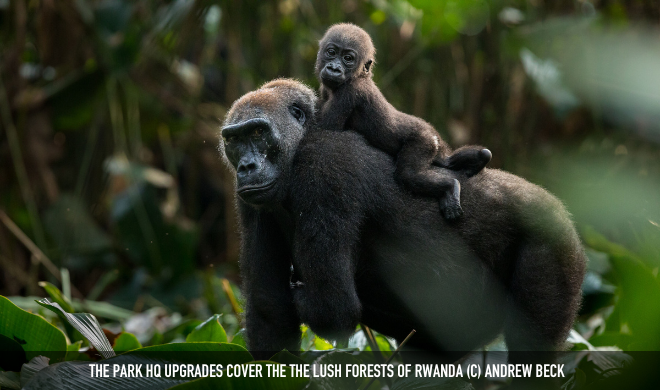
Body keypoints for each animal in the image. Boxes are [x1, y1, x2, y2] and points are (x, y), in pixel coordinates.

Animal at [222, 78, 588, 360]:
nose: (246, 168)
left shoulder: (324, 167)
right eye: (234, 139)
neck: (301, 142)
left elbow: (333, 309)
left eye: (258, 133)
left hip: (555, 241)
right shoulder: (250, 201)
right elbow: (270, 313)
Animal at [318, 24, 492, 219]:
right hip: (436, 145)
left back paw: (451, 186)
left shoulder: (348, 92)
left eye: (348, 59)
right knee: (447, 161)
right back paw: (479, 159)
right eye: (331, 52)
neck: (359, 76)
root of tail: (433, 136)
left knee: (409, 175)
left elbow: (328, 127)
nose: (334, 68)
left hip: (423, 141)